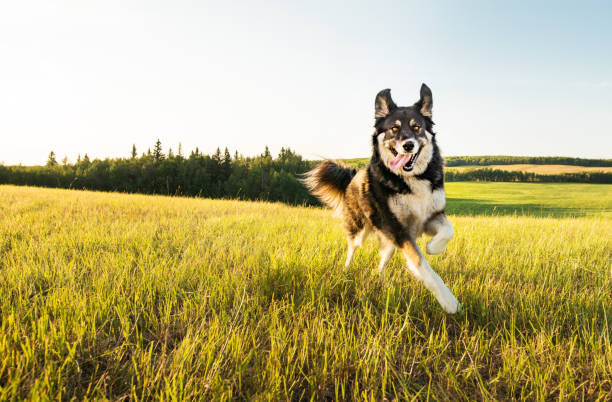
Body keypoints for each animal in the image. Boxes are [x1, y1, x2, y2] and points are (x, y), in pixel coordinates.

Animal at [302, 85, 460, 314]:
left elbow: (448, 230)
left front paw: (433, 247)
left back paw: (381, 281)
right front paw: (449, 301)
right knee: (351, 250)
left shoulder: (431, 216)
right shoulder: (398, 229)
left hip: (389, 242)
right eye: (394, 129)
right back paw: (345, 272)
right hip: (360, 229)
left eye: (417, 127)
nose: (408, 145)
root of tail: (353, 176)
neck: (411, 179)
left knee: (381, 262)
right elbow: (421, 264)